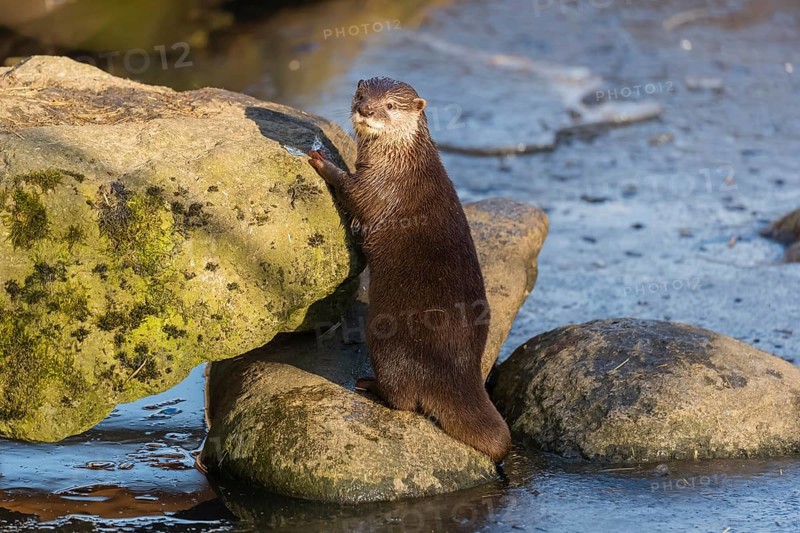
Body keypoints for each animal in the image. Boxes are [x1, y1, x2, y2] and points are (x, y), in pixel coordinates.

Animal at [308, 76, 511, 462]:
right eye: (361, 95)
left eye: (389, 105)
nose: (365, 109)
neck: (402, 162)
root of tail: (458, 370)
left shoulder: (379, 188)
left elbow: (351, 191)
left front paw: (320, 160)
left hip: (385, 339)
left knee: (402, 400)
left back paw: (369, 384)